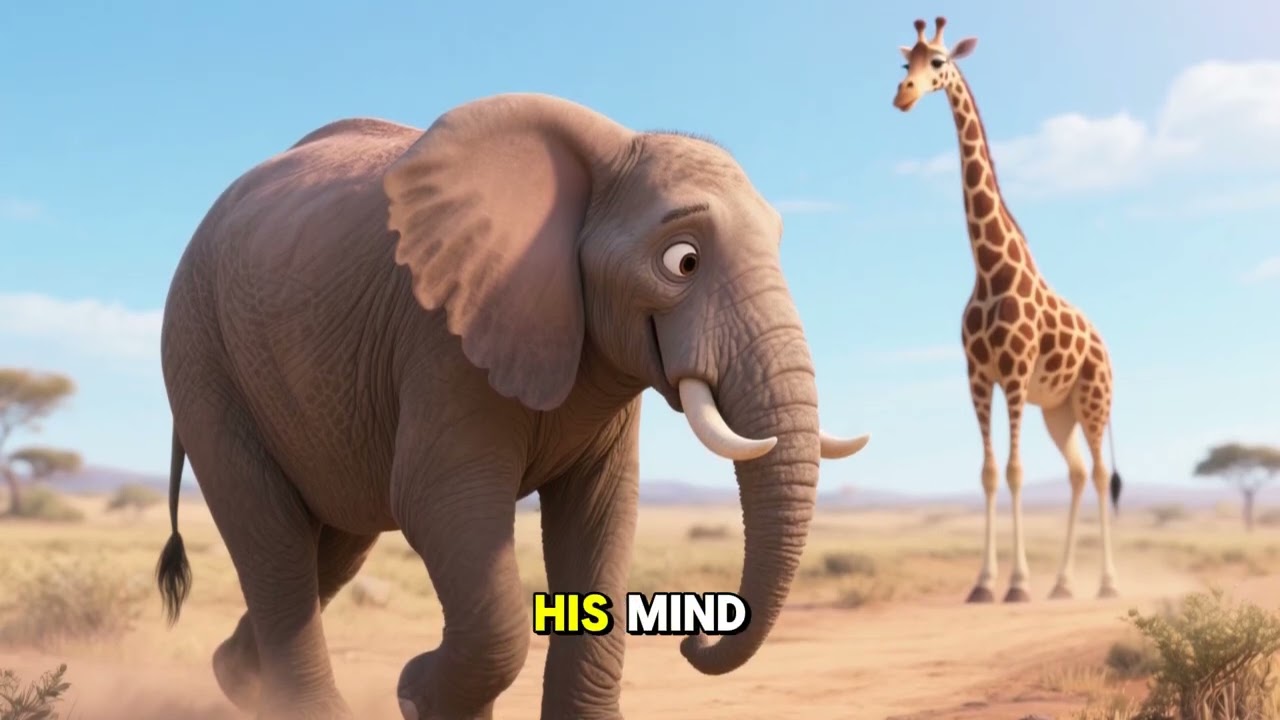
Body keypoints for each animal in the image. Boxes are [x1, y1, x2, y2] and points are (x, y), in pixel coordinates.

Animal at [153, 92, 871, 720]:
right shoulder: (443, 338)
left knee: (329, 542)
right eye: (683, 261)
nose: (697, 637)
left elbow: (601, 516)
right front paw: (416, 696)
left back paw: (235, 677)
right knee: (271, 532)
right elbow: (439, 499)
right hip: (201, 355)